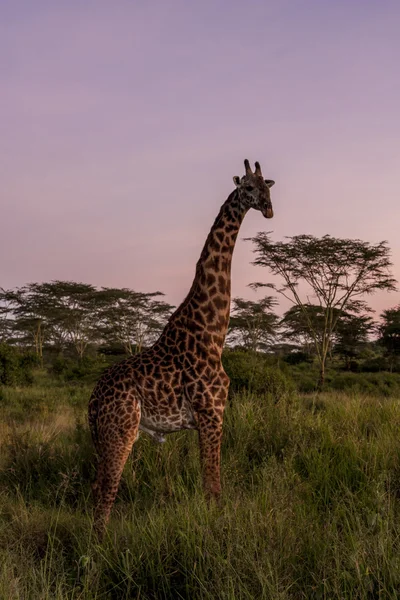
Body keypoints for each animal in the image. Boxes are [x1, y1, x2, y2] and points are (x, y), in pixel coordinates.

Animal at [88, 159, 274, 536]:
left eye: (268, 187)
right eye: (248, 188)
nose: (268, 208)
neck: (212, 331)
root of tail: (93, 399)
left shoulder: (210, 417)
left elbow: (209, 484)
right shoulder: (211, 413)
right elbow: (213, 487)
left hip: (103, 436)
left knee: (97, 488)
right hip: (120, 431)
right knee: (105, 494)